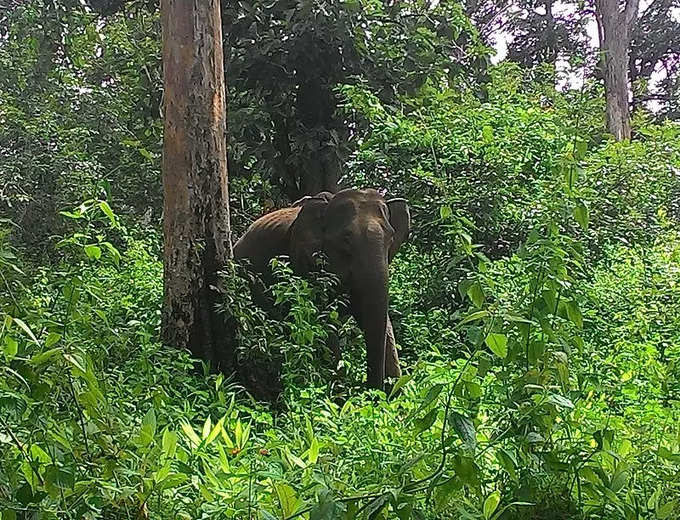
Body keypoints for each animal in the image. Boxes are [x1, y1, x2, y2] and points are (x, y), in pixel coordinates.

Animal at [234, 188, 410, 390]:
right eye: (346, 239)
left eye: (391, 238)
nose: (372, 390)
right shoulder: (305, 263)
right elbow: (323, 320)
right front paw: (339, 392)